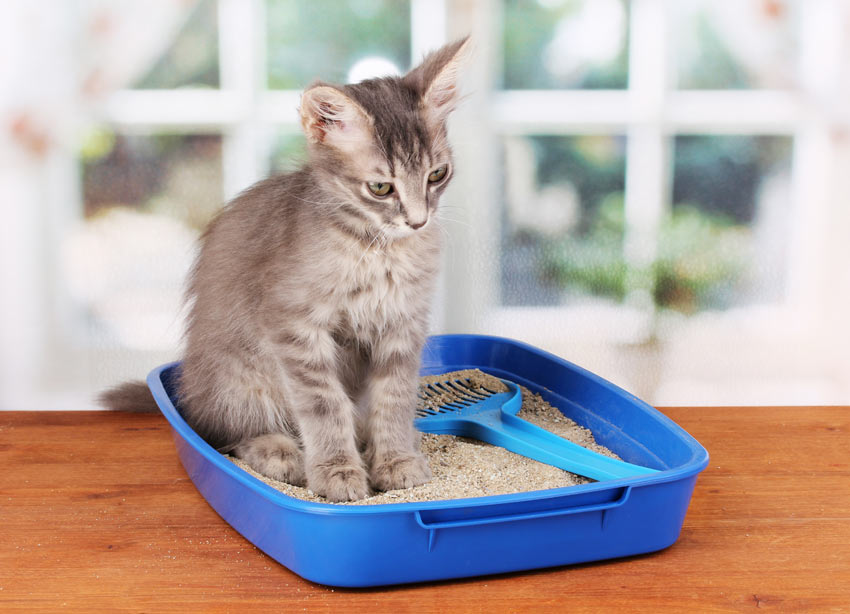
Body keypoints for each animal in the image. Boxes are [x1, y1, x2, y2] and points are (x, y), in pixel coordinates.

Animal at [102, 38, 470, 502]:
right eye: (381, 188)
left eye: (437, 174)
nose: (419, 222)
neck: (375, 250)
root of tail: (189, 392)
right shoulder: (293, 326)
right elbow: (324, 405)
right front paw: (337, 471)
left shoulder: (403, 324)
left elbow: (394, 397)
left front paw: (396, 460)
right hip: (242, 379)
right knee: (231, 435)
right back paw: (280, 453)